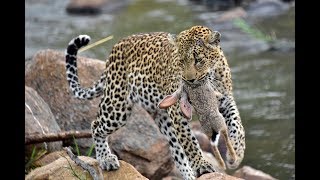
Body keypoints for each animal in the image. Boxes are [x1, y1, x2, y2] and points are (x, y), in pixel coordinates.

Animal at [64, 25, 245, 179]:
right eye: (180, 61)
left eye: (198, 60)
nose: (189, 80)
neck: (211, 76)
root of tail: (116, 46)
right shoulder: (177, 111)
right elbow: (190, 142)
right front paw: (201, 164)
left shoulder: (226, 99)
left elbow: (237, 124)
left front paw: (236, 152)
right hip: (117, 106)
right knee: (96, 125)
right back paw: (106, 159)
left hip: (163, 119)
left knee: (177, 153)